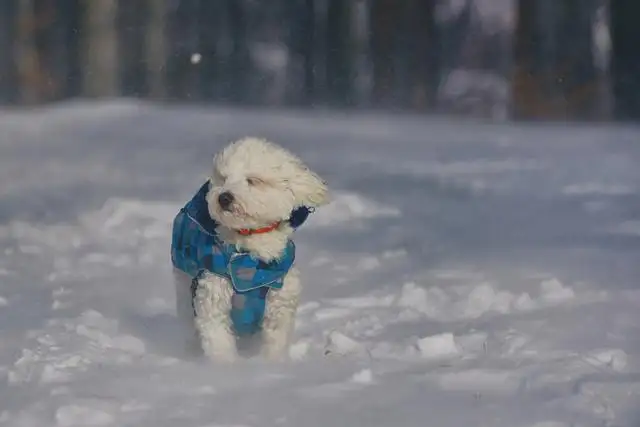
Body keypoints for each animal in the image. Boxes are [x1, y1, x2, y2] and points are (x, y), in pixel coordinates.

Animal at [170, 139, 328, 362]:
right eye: (223, 178)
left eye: (252, 180)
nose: (224, 197)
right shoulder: (214, 296)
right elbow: (218, 340)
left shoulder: (279, 304)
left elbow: (275, 343)